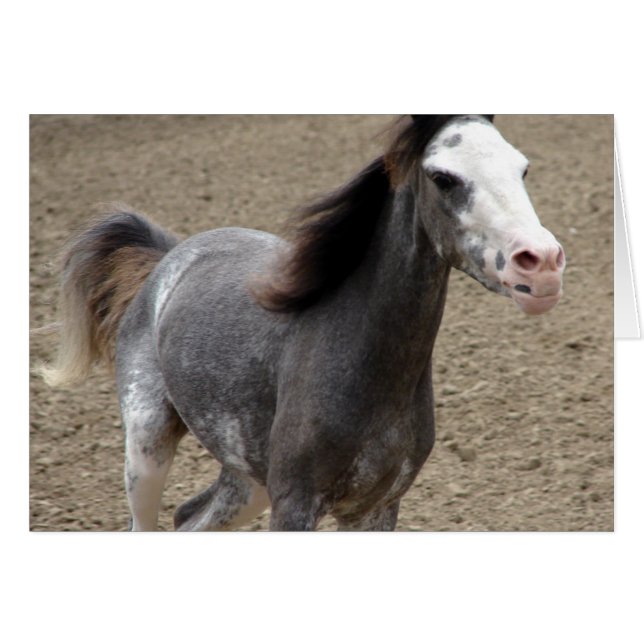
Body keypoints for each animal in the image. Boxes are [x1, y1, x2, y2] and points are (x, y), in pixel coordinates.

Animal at [40, 115, 566, 531]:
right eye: (443, 177)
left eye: (522, 167)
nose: (541, 263)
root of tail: (168, 257)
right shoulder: (295, 504)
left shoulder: (375, 508)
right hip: (146, 450)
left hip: (249, 481)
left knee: (189, 517)